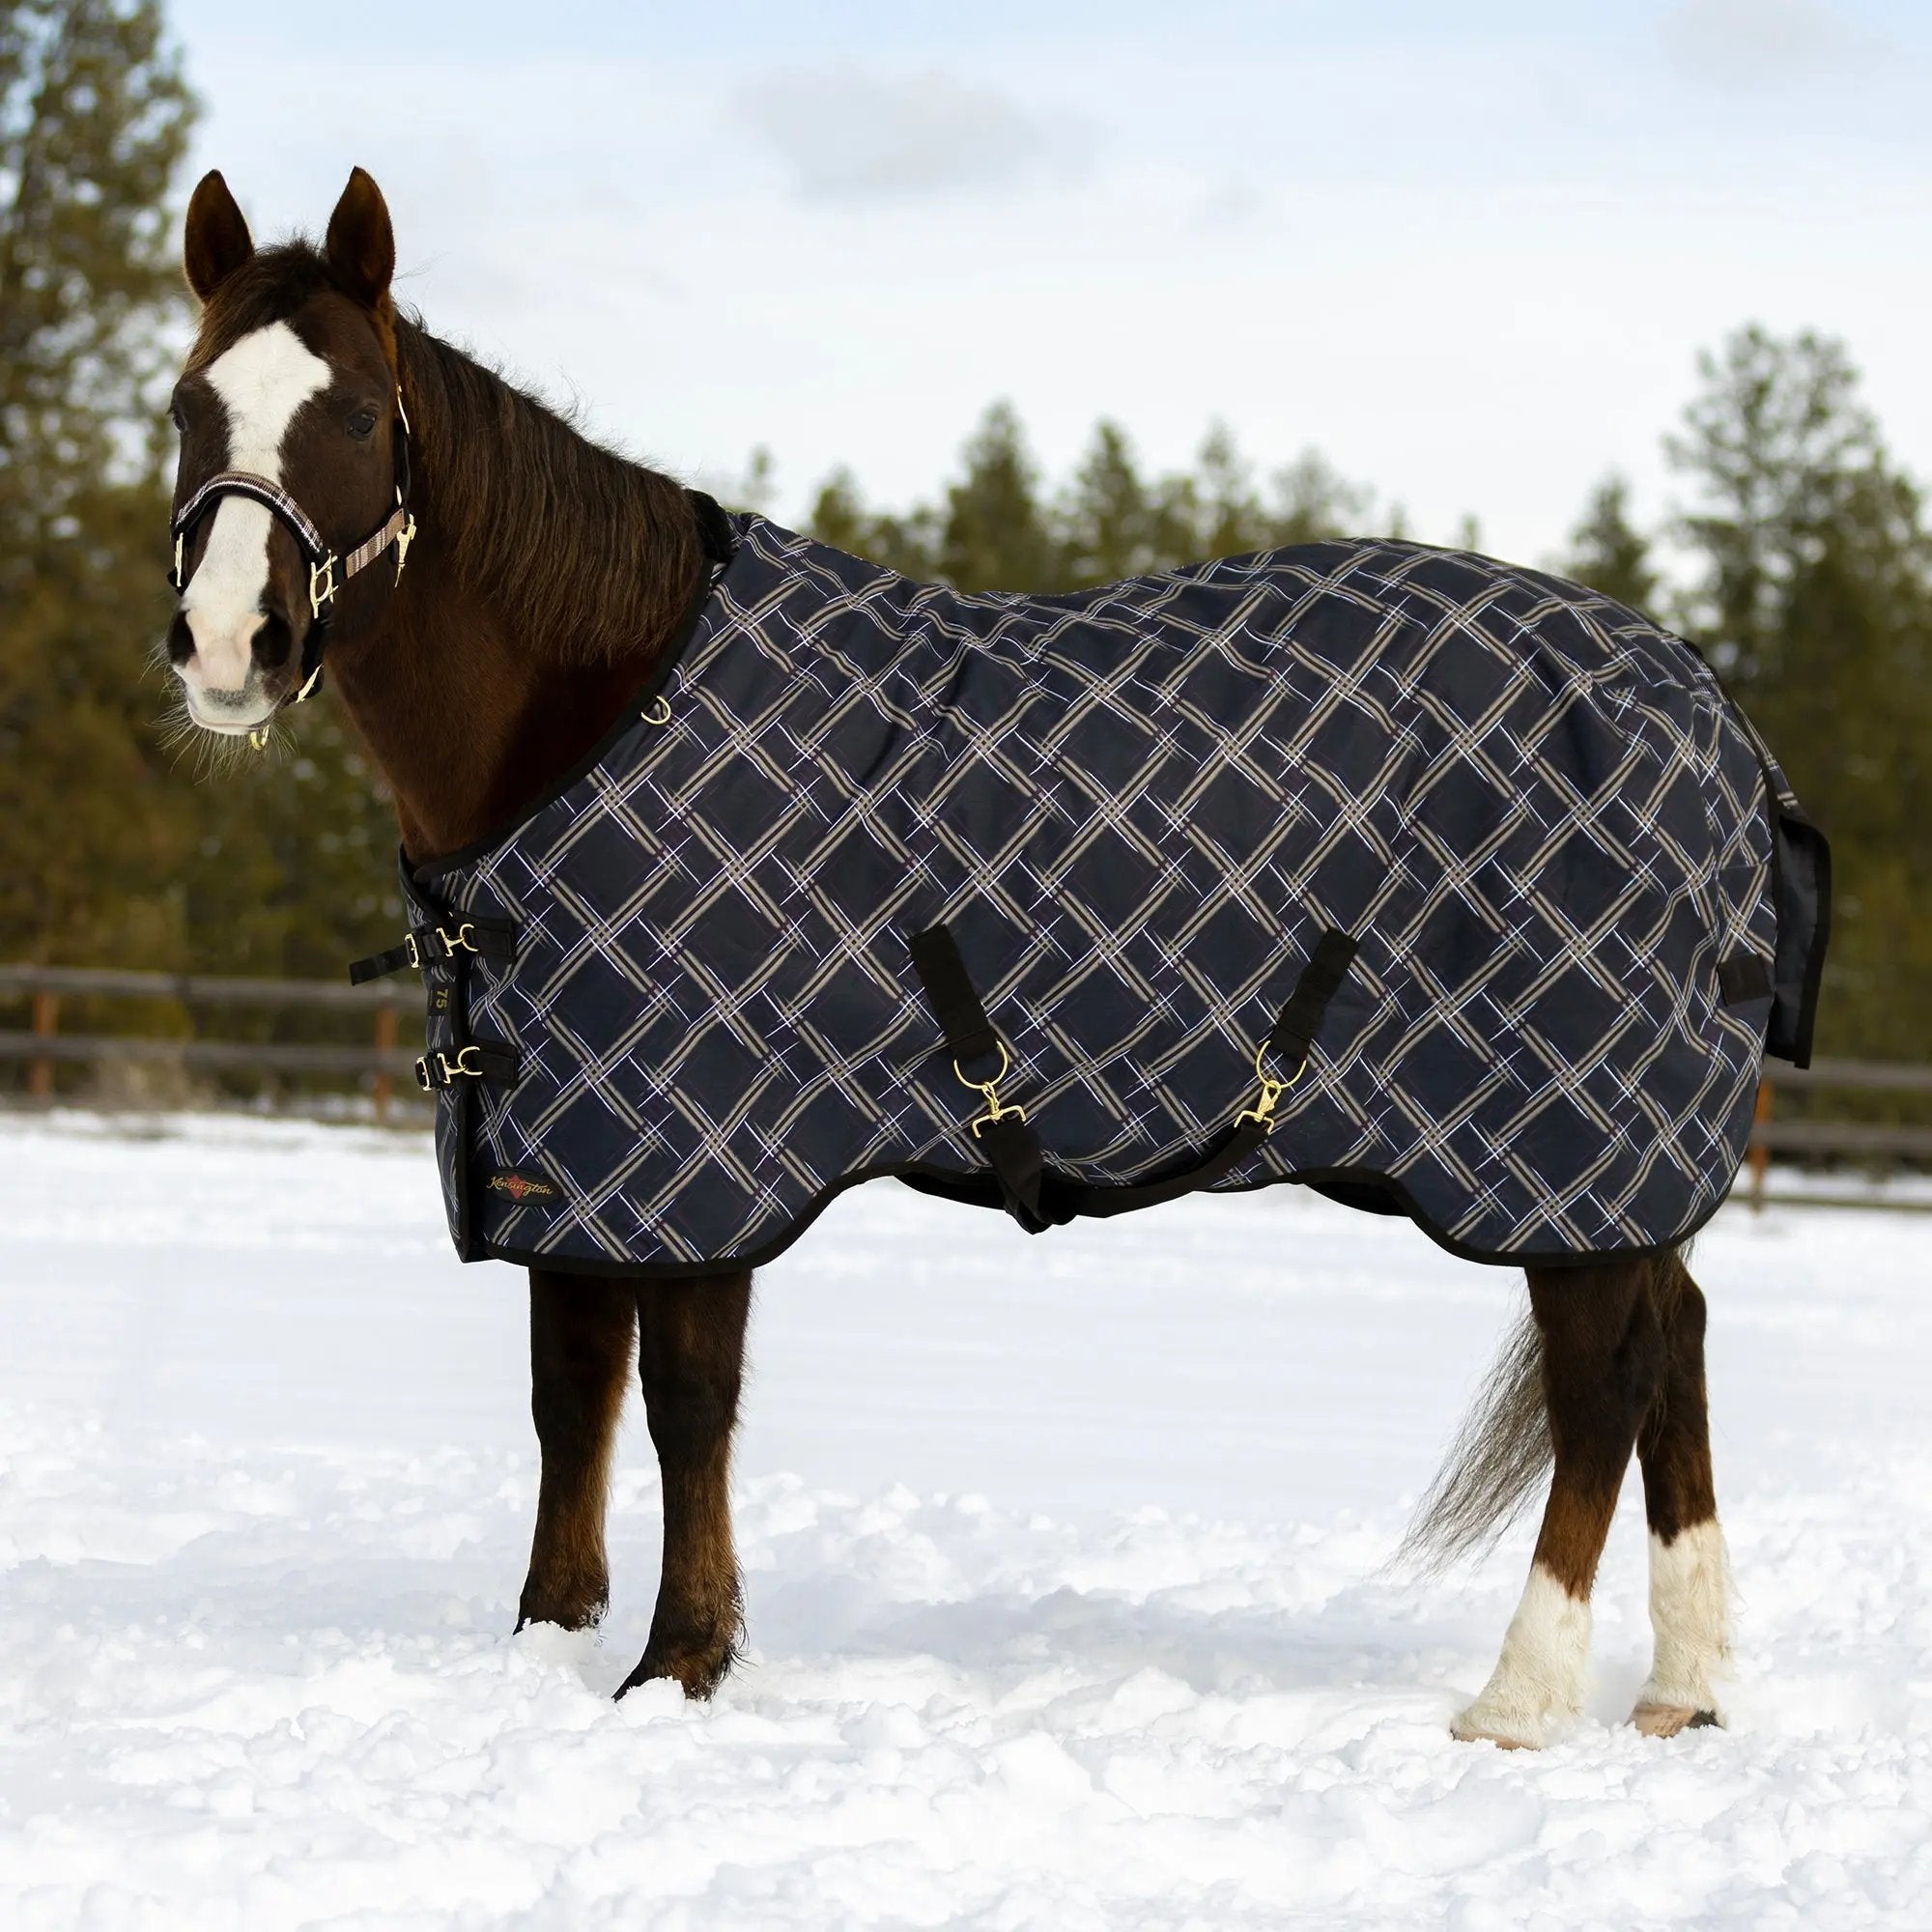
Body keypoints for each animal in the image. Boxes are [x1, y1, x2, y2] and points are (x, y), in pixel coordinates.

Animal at [161, 165, 1744, 1749]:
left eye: (356, 414)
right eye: (185, 404)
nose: (231, 644)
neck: (598, 712)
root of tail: (1698, 702)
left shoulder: (698, 1155)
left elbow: (683, 1403)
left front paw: (678, 1661)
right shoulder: (571, 1155)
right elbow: (571, 1399)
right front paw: (545, 1641)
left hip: (1565, 1146)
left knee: (1604, 1381)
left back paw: (1521, 1697)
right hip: (1616, 1168)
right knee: (1674, 1346)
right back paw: (1680, 1689)